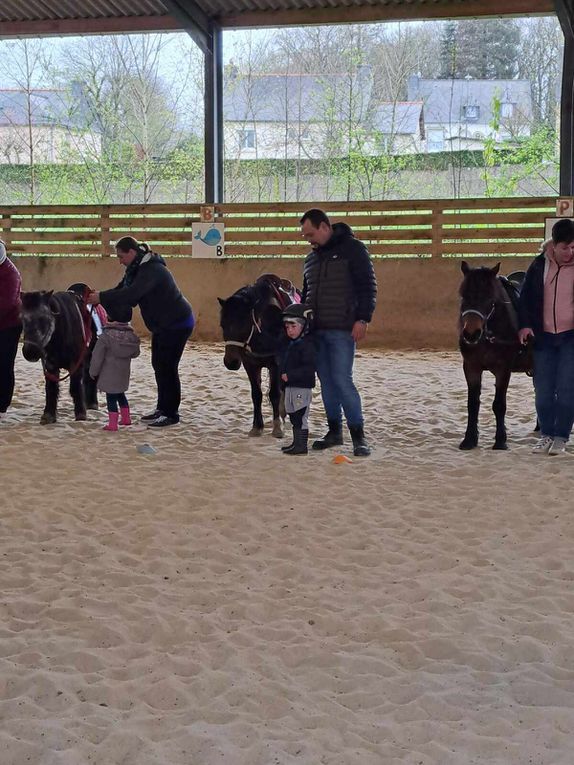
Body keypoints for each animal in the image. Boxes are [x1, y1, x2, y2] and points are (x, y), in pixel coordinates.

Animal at [219, 274, 296, 436]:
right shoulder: (250, 365)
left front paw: (277, 428)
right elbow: (256, 394)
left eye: (244, 325)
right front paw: (257, 426)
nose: (231, 362)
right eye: (222, 325)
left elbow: (274, 394)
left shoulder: (275, 365)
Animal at [462, 260, 532, 450]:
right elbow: (473, 404)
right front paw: (469, 439)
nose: (471, 334)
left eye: (490, 299)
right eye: (463, 295)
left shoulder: (503, 369)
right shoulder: (471, 367)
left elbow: (499, 405)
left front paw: (500, 441)